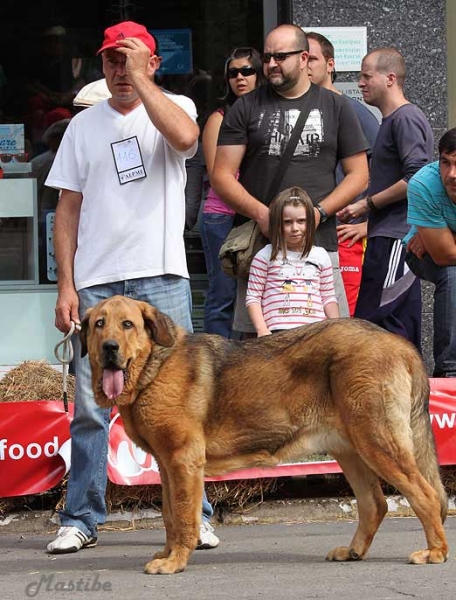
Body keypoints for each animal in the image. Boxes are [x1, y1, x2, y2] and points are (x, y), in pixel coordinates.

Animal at [80, 298, 448, 576]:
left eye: (127, 325)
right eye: (99, 324)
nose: (110, 348)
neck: (151, 369)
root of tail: (401, 344)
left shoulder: (183, 461)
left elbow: (184, 518)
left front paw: (176, 562)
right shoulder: (167, 466)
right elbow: (171, 516)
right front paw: (168, 554)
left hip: (378, 442)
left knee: (425, 495)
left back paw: (435, 552)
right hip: (352, 449)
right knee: (375, 504)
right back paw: (353, 551)